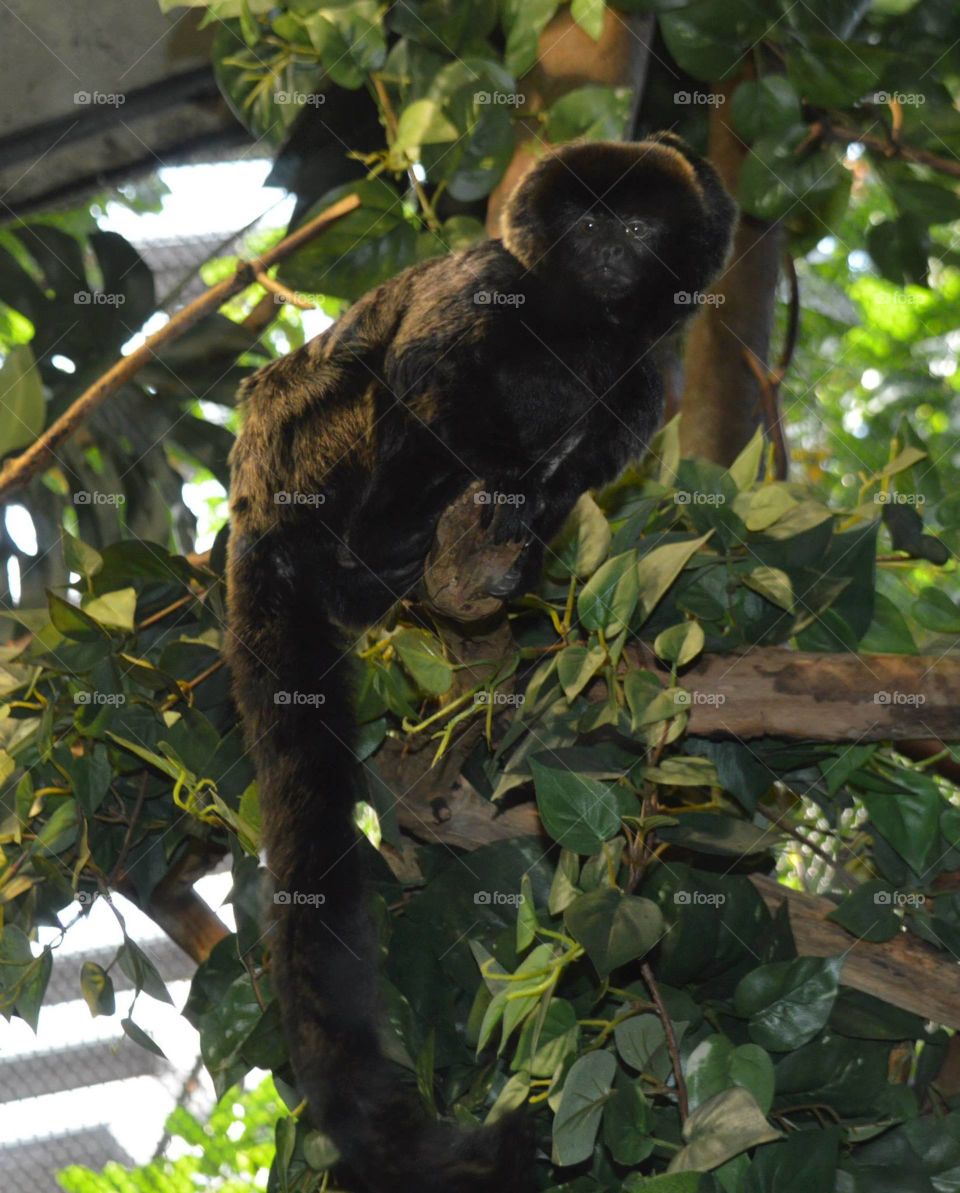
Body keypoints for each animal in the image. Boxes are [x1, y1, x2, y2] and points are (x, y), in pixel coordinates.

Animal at [225, 133, 736, 1192]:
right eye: (587, 218)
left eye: (634, 222)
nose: (607, 243)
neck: (575, 320)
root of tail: (249, 508)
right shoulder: (484, 282)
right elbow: (430, 375)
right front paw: (486, 480)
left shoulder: (643, 370)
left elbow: (606, 424)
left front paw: (533, 526)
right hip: (313, 445)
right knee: (390, 391)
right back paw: (381, 552)